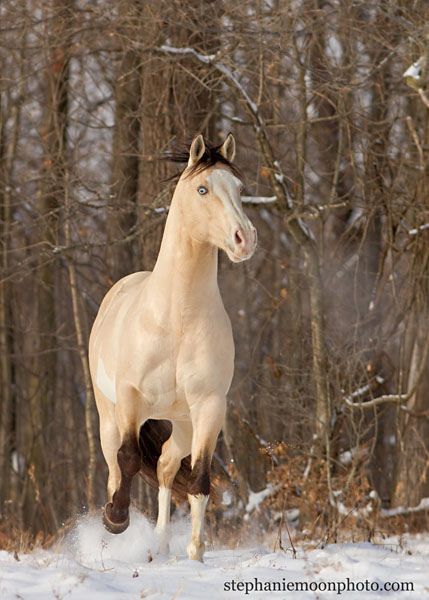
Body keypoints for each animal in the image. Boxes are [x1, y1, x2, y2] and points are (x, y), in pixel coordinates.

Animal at [86, 134, 254, 560]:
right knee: (115, 465)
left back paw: (161, 545)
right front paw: (116, 519)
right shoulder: (130, 398)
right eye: (202, 189)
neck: (177, 320)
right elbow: (128, 459)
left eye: (240, 189)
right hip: (109, 416)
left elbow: (199, 480)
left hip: (181, 423)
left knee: (164, 465)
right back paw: (117, 524)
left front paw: (196, 552)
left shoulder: (210, 408)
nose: (245, 239)